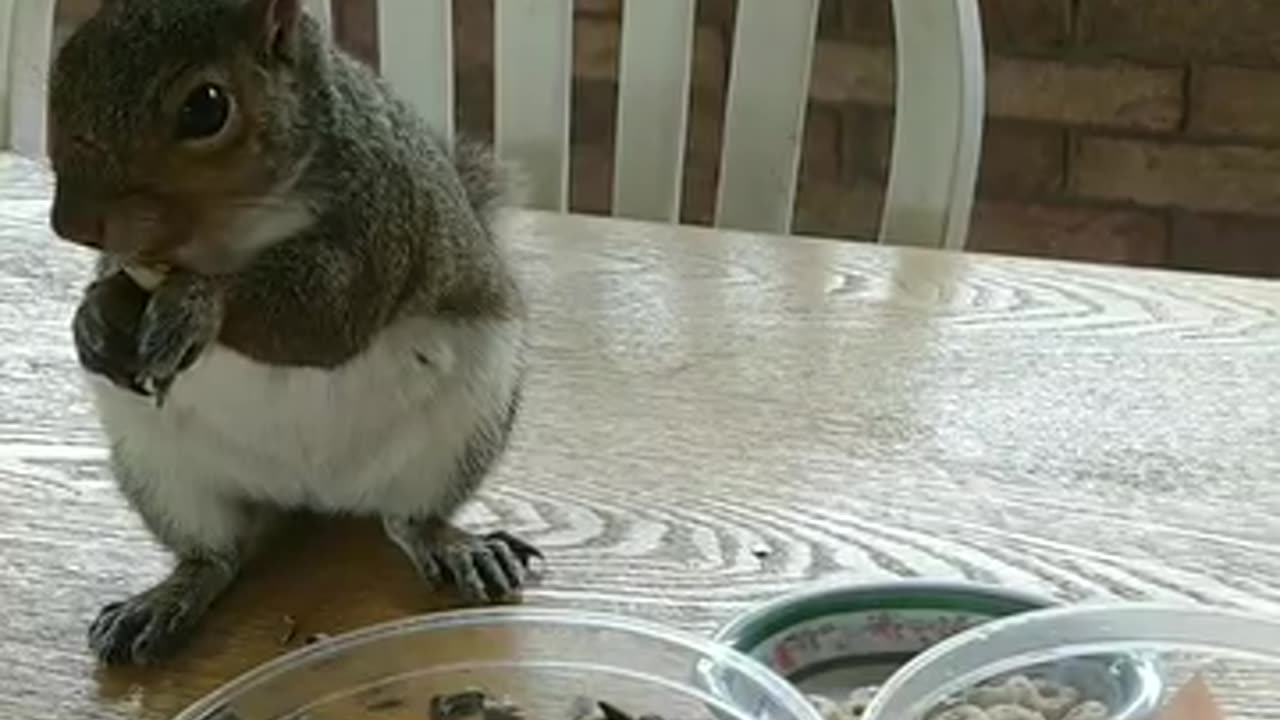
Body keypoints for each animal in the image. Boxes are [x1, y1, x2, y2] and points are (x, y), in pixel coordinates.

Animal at [47, 0, 540, 666]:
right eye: (66, 60)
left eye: (206, 107)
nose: (69, 224)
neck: (228, 230)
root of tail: (314, 492)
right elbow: (113, 278)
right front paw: (93, 320)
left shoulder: (379, 220)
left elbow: (325, 319)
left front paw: (198, 305)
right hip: (163, 472)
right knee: (217, 556)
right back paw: (164, 601)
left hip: (460, 434)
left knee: (407, 520)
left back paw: (457, 547)